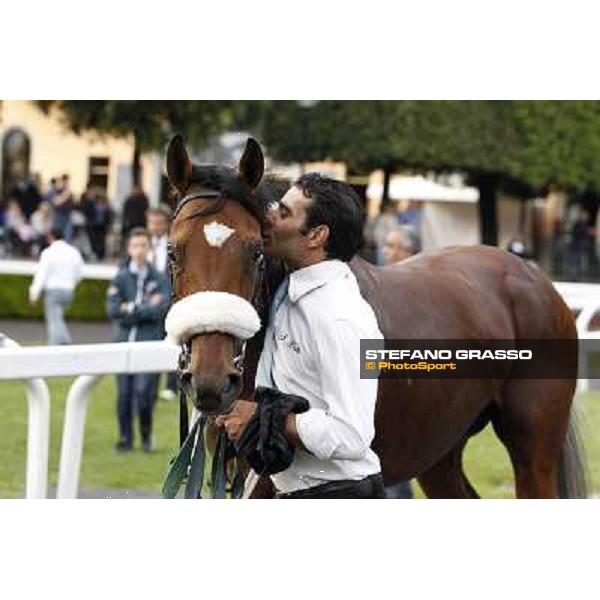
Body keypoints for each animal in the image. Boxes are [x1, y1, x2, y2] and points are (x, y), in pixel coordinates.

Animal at [164, 135, 584, 496]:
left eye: (255, 252)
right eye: (172, 251)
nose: (211, 381)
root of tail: (535, 278)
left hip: (533, 447)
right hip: (438, 446)